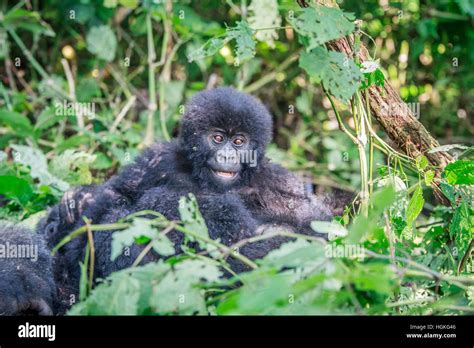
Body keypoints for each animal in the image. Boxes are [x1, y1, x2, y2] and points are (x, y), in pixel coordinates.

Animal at [0, 87, 334, 316]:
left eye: (239, 142)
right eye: (217, 138)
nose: (228, 155)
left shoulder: (276, 181)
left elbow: (312, 226)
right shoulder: (159, 159)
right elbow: (117, 195)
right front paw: (77, 202)